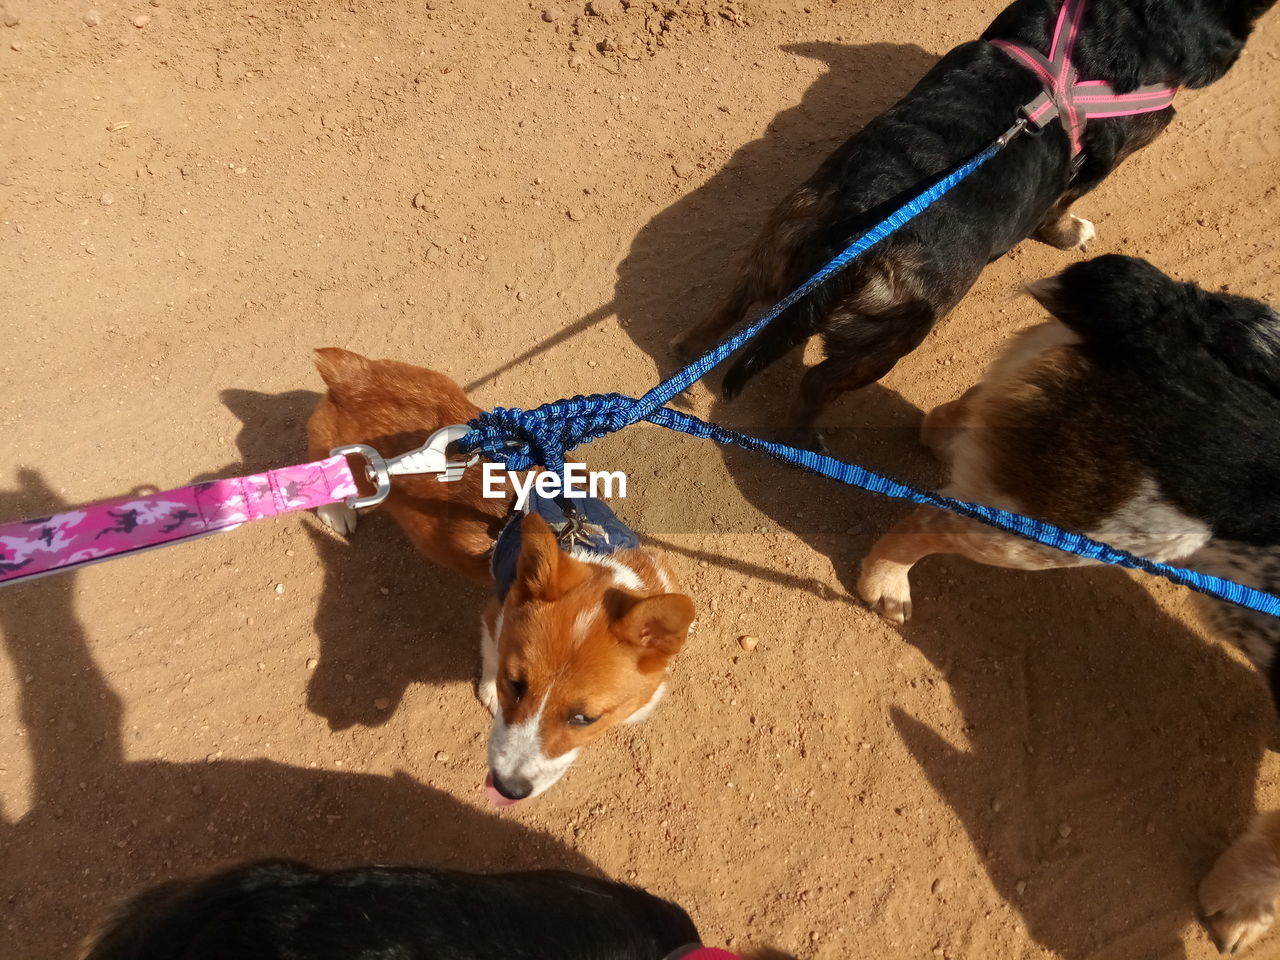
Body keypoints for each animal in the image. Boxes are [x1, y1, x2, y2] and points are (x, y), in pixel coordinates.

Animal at [305, 350, 696, 808]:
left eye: (584, 718)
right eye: (516, 684)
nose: (508, 789)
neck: (582, 542)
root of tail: (352, 374)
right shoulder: (496, 613)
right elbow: (491, 654)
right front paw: (490, 692)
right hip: (341, 460)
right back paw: (337, 511)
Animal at [675, 0, 1274, 450]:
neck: (1114, 29)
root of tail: (852, 242)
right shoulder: (1098, 169)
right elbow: (1060, 211)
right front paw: (1070, 235)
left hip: (781, 238)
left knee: (731, 308)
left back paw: (686, 353)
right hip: (892, 338)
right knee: (816, 383)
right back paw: (804, 437)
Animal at [855, 257, 1280, 957]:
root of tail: (1169, 316)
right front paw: (1237, 911)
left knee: (955, 420)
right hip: (1063, 538)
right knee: (926, 516)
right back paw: (887, 581)